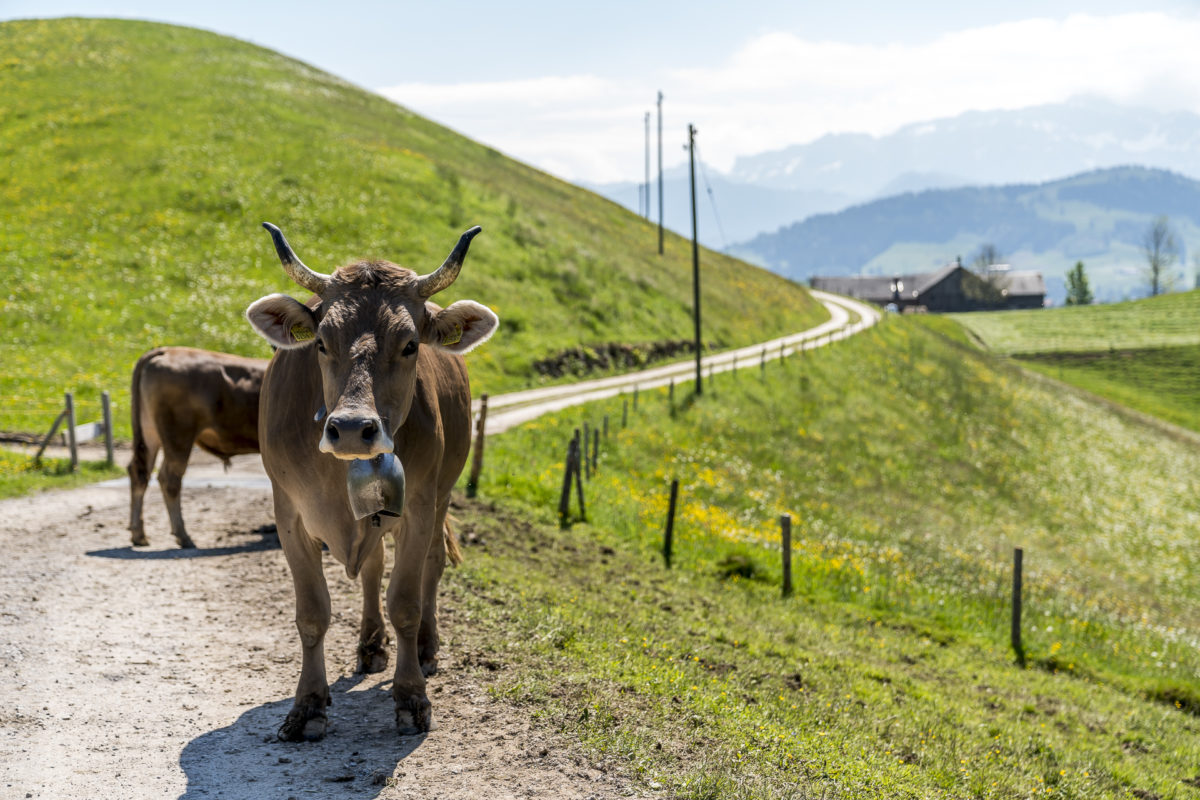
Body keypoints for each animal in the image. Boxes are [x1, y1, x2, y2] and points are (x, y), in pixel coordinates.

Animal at [127, 347, 266, 546]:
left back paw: (139, 535)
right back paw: (183, 536)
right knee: (169, 479)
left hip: (149, 434)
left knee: (139, 473)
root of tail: (166, 350)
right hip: (178, 436)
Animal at [246, 221, 499, 743]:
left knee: (431, 565)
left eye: (410, 344)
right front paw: (308, 705)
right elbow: (312, 613)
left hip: (441, 495)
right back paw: (370, 646)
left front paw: (411, 697)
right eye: (322, 342)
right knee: (372, 566)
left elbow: (404, 599)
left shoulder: (418, 506)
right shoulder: (288, 513)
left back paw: (424, 648)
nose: (349, 428)